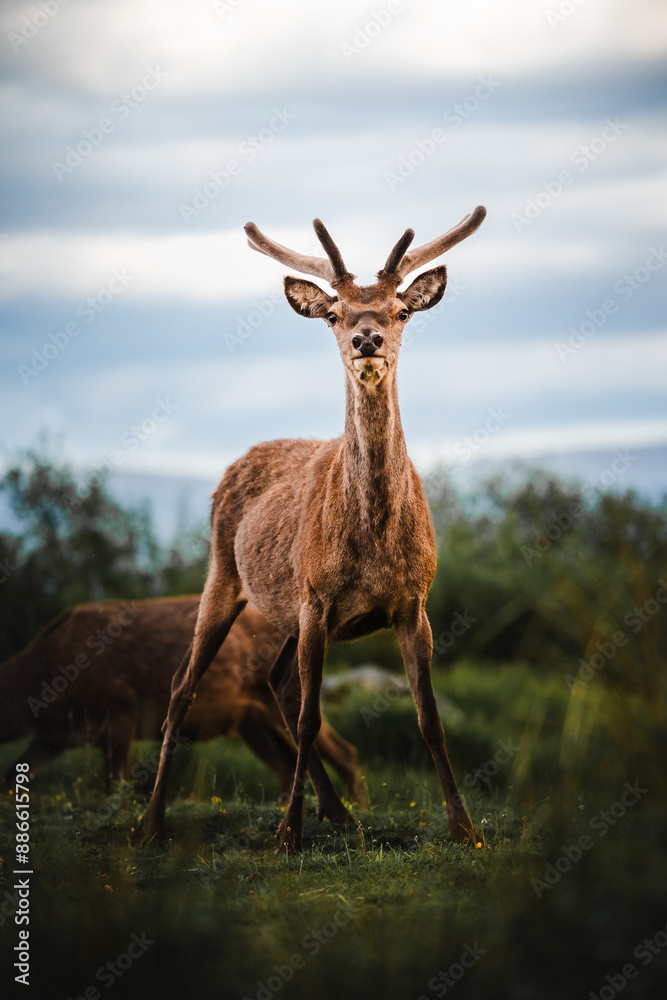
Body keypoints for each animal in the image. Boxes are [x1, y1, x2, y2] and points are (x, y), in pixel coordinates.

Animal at [0, 596, 363, 806]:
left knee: (343, 751)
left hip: (280, 697)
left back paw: (358, 811)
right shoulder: (52, 737)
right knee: (287, 766)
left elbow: (113, 783)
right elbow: (12, 773)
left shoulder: (122, 707)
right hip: (251, 723)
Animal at [140, 205, 487, 853]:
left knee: (275, 681)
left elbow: (428, 716)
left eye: (401, 310)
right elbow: (309, 717)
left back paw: (341, 813)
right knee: (181, 687)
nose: (366, 338)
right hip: (225, 576)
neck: (373, 544)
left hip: (285, 610)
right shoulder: (317, 598)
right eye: (334, 312)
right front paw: (287, 833)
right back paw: (151, 822)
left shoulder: (413, 601)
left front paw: (465, 827)